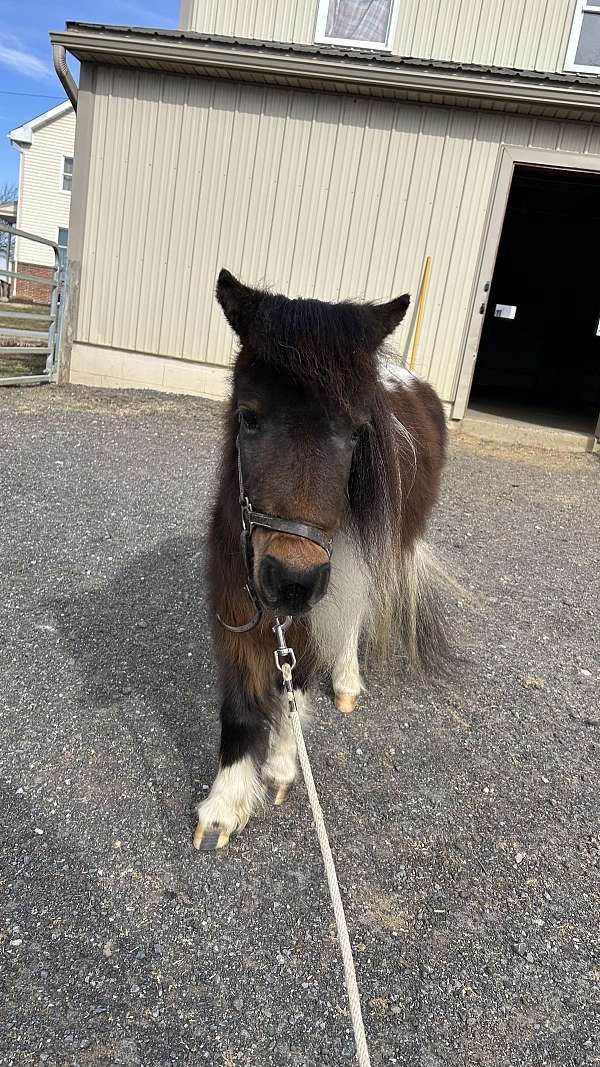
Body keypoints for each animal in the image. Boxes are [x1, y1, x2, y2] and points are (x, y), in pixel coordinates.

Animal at [194, 273, 450, 849]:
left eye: (356, 431)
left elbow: (298, 683)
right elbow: (240, 704)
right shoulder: (237, 599)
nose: (292, 580)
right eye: (248, 417)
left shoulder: (320, 600)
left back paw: (348, 682)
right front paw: (226, 804)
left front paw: (281, 770)